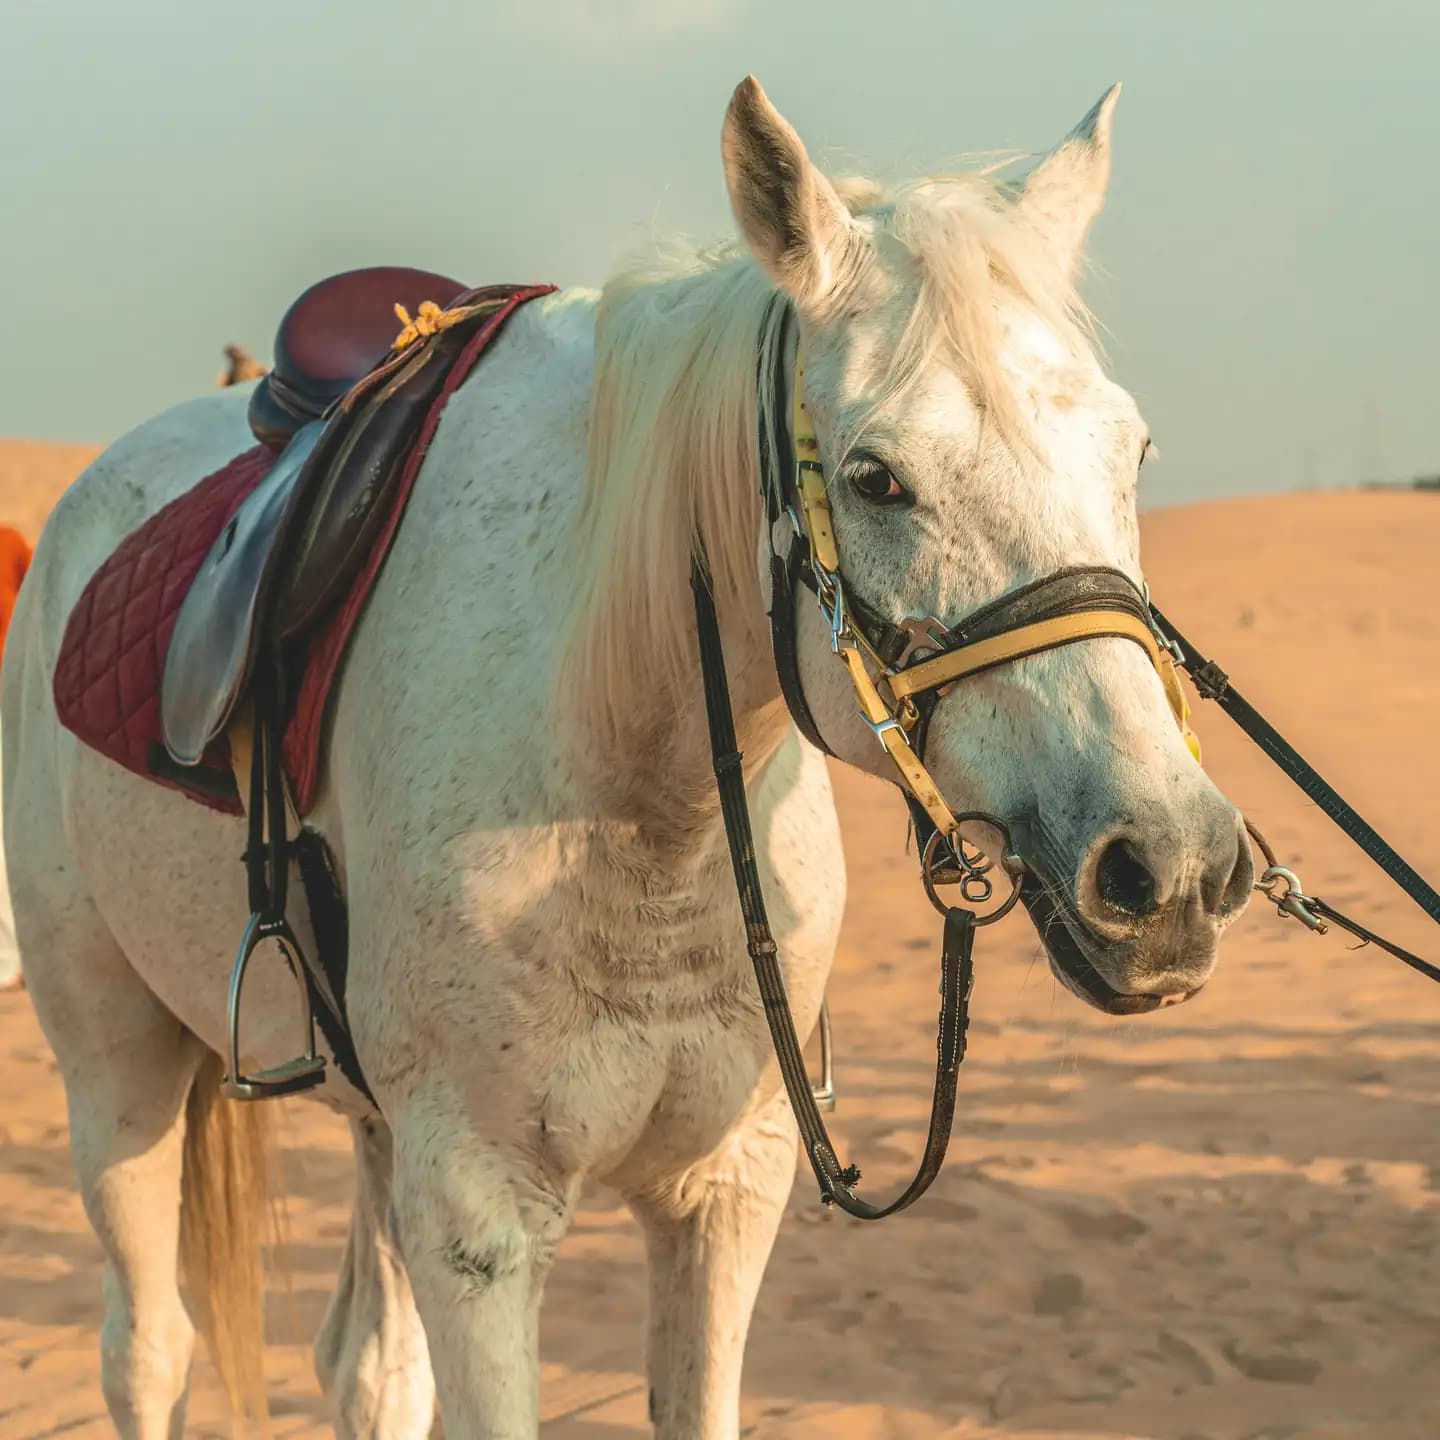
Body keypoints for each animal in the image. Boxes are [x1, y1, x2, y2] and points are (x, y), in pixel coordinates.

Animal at [1, 76, 1253, 1438]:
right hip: (116, 1061)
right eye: (876, 478)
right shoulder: (480, 1217)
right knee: (148, 1346)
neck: (641, 809)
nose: (1170, 869)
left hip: (375, 1129)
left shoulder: (726, 1191)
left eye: (1133, 454)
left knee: (367, 1365)